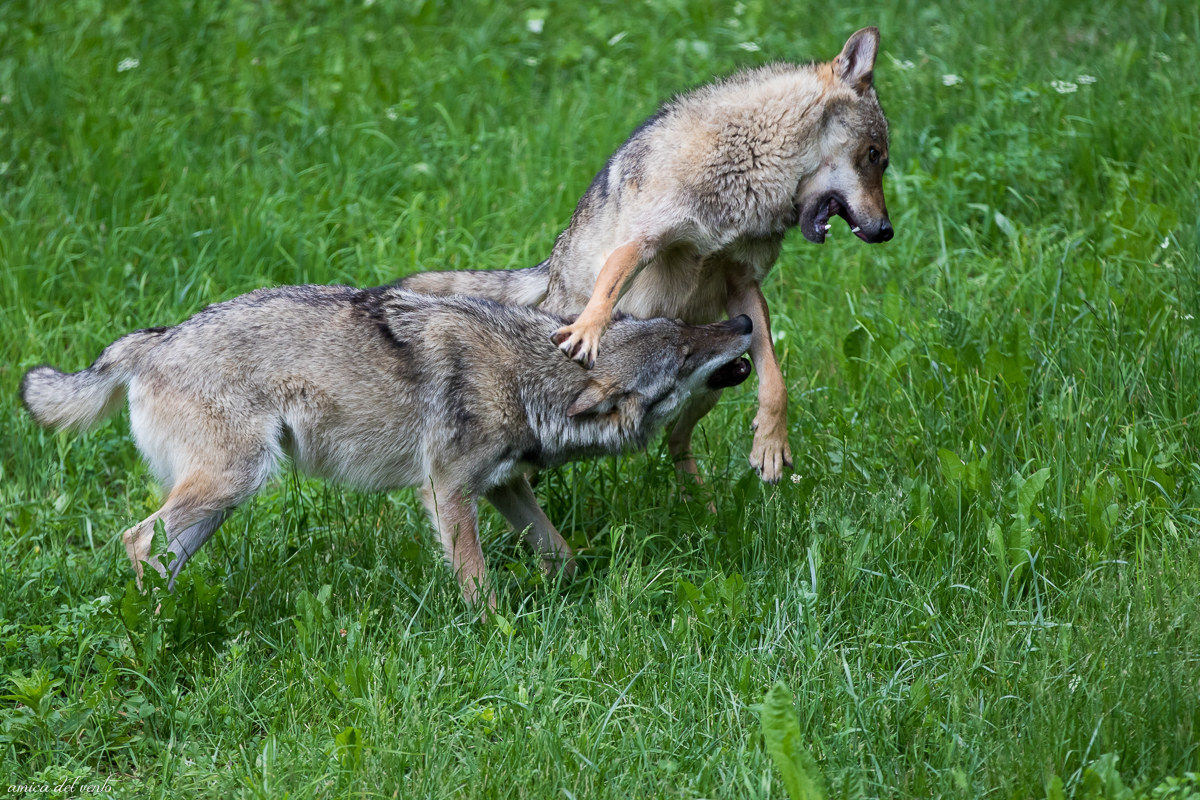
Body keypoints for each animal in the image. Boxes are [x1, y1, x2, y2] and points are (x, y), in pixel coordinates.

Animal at [20, 286, 752, 609]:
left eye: (683, 328)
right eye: (683, 357)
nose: (745, 320)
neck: (523, 379)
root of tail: (152, 340)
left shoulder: (504, 485)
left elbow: (562, 554)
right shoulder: (448, 491)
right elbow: (478, 584)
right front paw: (500, 638)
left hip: (220, 502)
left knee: (157, 550)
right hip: (234, 482)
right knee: (136, 539)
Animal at [401, 27, 893, 485]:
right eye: (874, 156)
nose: (886, 231)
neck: (750, 169)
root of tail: (551, 265)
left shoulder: (742, 283)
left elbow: (775, 381)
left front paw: (771, 443)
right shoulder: (644, 243)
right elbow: (607, 290)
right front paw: (586, 332)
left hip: (715, 379)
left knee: (676, 442)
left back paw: (701, 501)